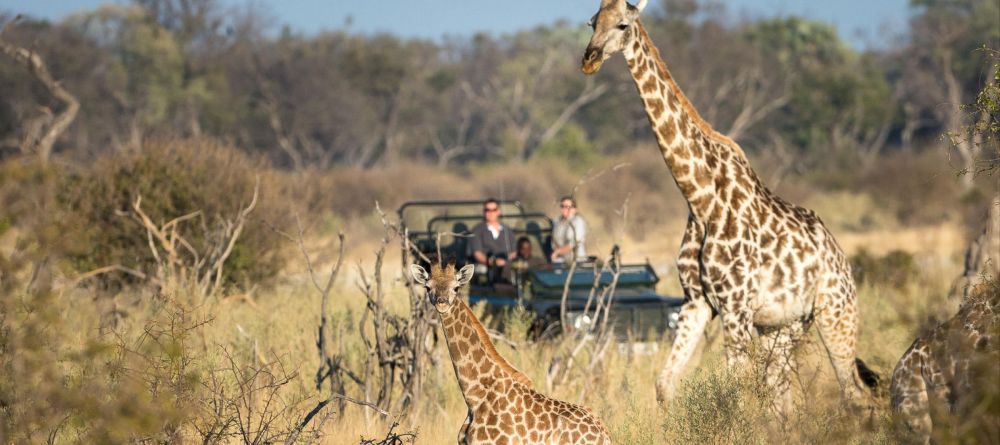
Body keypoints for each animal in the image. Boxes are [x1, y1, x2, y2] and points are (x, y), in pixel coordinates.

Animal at [580, 0, 876, 414]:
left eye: (622, 24)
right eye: (593, 22)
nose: (589, 59)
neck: (699, 197)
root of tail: (841, 256)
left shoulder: (735, 306)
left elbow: (733, 392)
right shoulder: (697, 302)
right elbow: (664, 384)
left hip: (836, 313)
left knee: (856, 394)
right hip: (784, 325)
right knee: (782, 395)